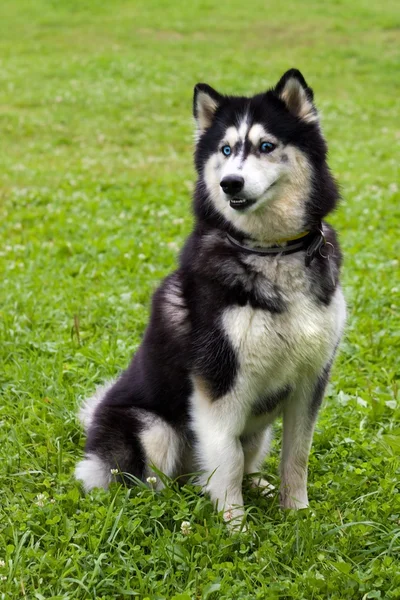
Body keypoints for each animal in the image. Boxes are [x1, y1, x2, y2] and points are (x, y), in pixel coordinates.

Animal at [76, 68, 346, 524]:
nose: (230, 182)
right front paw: (234, 525)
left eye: (266, 146)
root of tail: (96, 416)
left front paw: (297, 513)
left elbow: (297, 456)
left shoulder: (311, 380)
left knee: (243, 458)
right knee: (160, 479)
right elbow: (227, 459)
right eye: (226, 149)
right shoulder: (220, 385)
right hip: (154, 428)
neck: (272, 251)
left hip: (258, 428)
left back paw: (256, 485)